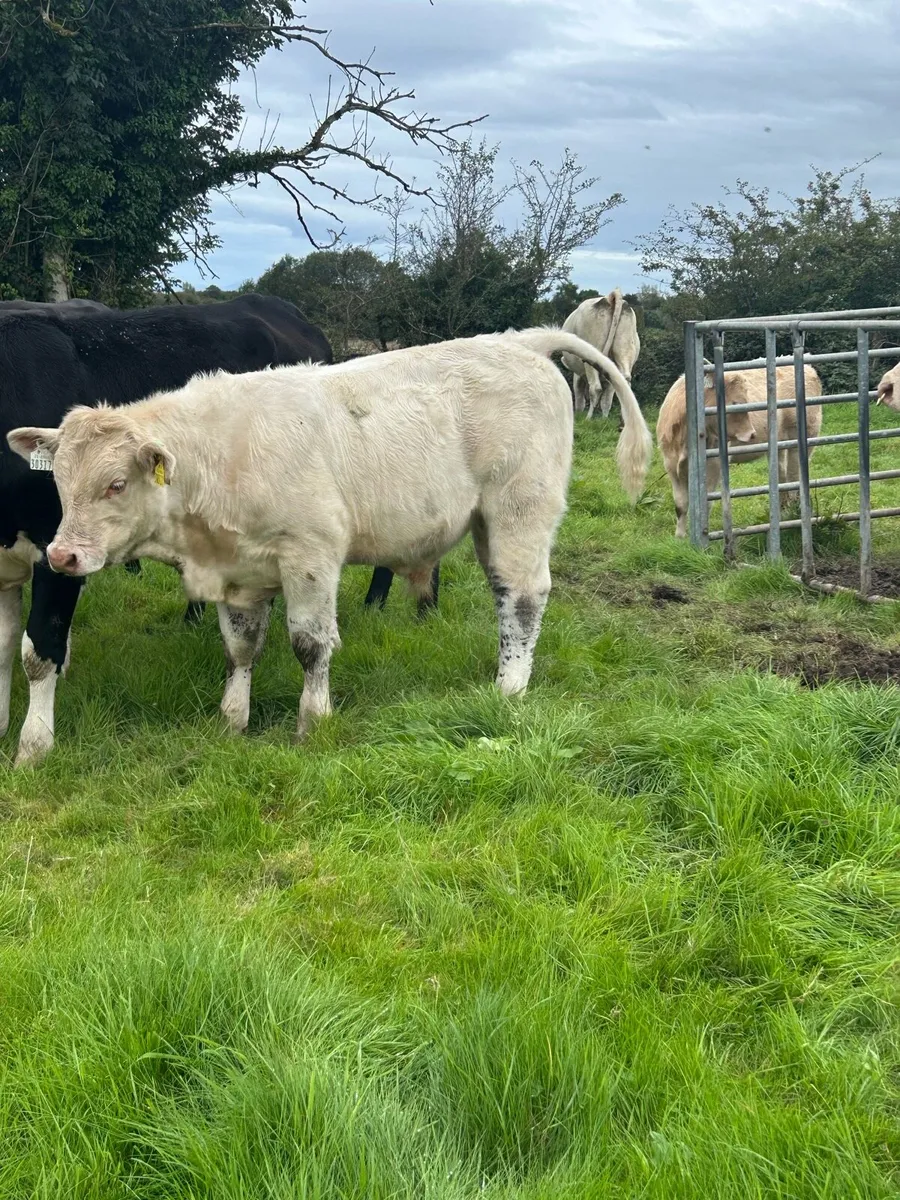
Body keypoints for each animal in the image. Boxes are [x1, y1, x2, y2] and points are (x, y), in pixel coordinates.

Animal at [10, 328, 652, 745]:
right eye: (58, 482)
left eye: (116, 484)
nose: (61, 554)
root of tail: (522, 341)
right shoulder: (242, 573)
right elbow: (240, 648)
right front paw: (232, 719)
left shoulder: (310, 556)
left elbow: (310, 645)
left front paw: (313, 722)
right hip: (487, 524)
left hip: (521, 511)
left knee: (522, 598)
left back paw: (509, 688)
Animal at [561, 290, 641, 420]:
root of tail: (609, 297)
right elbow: (606, 400)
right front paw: (604, 419)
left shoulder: (578, 375)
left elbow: (579, 396)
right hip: (625, 348)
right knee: (625, 382)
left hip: (590, 355)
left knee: (595, 388)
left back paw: (588, 418)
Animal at [657, 364, 824, 538]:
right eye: (734, 402)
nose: (751, 434)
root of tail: (809, 368)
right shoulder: (670, 465)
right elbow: (680, 504)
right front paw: (680, 537)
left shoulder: (713, 465)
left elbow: (707, 501)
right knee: (782, 475)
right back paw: (784, 514)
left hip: (806, 436)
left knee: (794, 476)